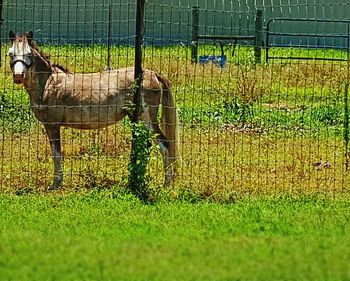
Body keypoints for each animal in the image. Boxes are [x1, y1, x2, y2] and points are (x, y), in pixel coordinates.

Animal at [7, 30, 179, 189]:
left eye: (29, 54)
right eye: (10, 53)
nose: (18, 76)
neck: (49, 83)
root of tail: (152, 73)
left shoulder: (53, 125)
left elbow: (56, 153)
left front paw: (55, 184)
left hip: (146, 118)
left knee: (164, 145)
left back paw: (166, 184)